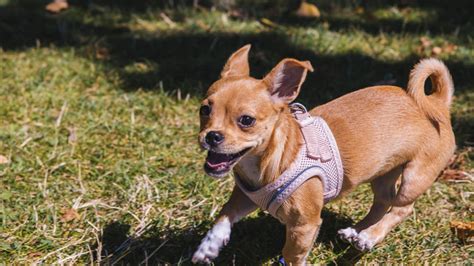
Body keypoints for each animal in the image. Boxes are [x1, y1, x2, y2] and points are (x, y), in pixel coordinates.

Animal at [192, 44, 456, 262]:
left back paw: (369, 236)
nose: (212, 136)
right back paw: (356, 232)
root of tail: (436, 103)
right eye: (204, 110)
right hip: (384, 173)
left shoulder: (304, 225)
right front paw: (208, 247)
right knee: (382, 202)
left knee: (402, 208)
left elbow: (291, 255)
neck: (271, 160)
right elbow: (225, 214)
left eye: (246, 120)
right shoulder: (246, 197)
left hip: (414, 176)